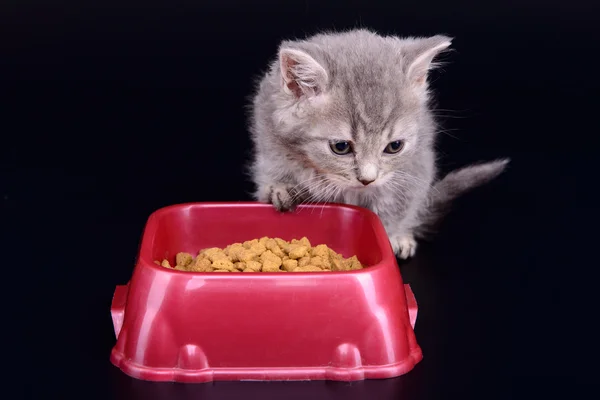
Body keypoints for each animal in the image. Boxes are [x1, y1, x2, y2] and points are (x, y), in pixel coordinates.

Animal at [247, 28, 506, 260]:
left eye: (394, 146)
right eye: (341, 147)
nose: (367, 179)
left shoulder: (415, 167)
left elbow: (394, 208)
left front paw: (391, 235)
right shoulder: (269, 139)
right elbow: (273, 170)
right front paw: (280, 187)